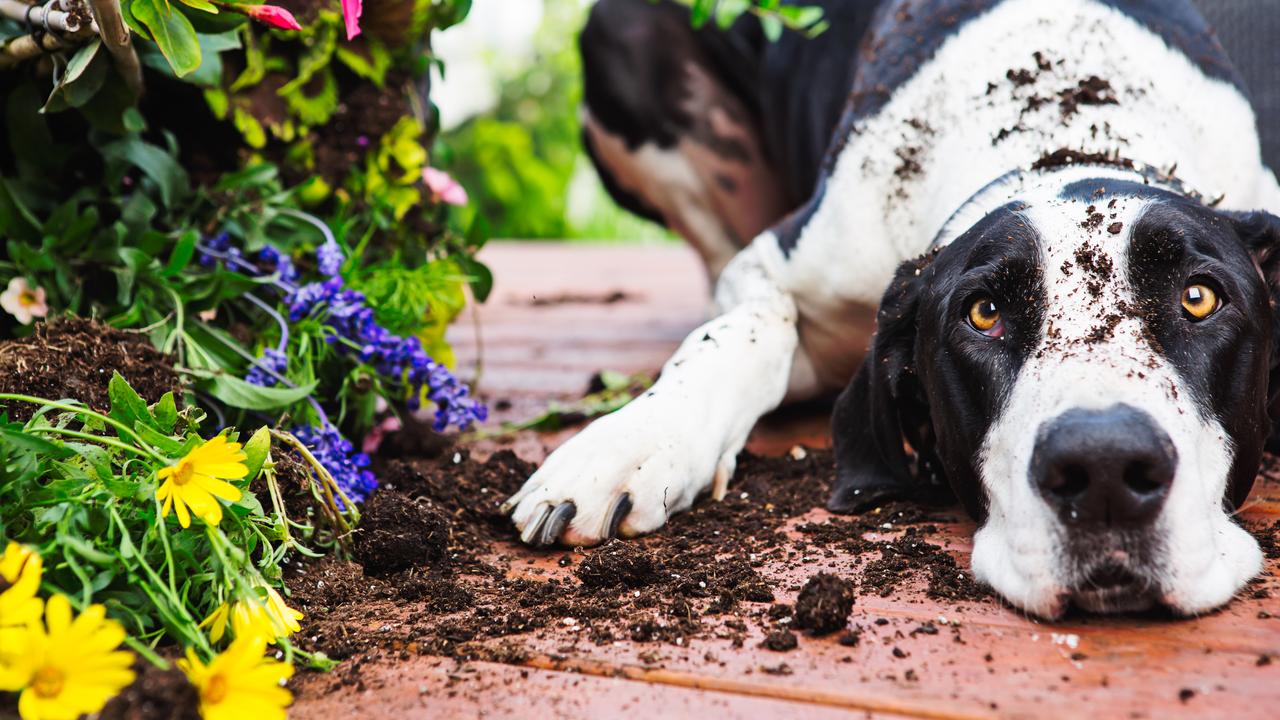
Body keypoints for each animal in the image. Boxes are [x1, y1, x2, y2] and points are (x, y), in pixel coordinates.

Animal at [499, 0, 1280, 617]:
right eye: (983, 313)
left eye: (1199, 297)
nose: (1107, 468)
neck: (1067, 129)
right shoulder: (779, 264)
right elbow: (742, 331)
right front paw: (630, 443)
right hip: (623, 41)